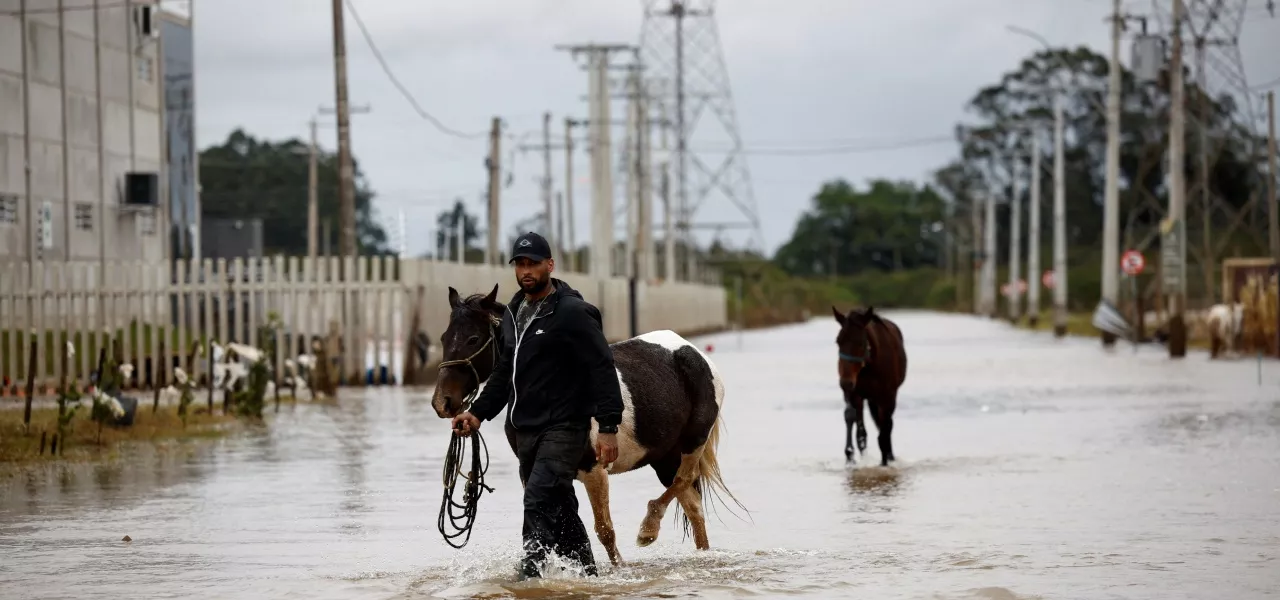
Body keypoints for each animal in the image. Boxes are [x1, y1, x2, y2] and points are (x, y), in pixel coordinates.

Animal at [432, 282, 747, 562]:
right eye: (444, 338)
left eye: (473, 339)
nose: (442, 402)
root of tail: (694, 352)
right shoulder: (532, 470)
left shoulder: (594, 470)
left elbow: (605, 530)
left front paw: (619, 569)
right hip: (664, 455)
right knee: (692, 504)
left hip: (692, 442)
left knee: (683, 483)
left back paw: (648, 529)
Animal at [834, 305, 906, 465]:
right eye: (838, 341)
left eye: (860, 342)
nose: (845, 382)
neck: (870, 364)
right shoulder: (854, 393)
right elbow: (852, 420)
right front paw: (850, 455)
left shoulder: (887, 396)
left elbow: (885, 429)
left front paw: (884, 462)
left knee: (887, 425)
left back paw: (889, 457)